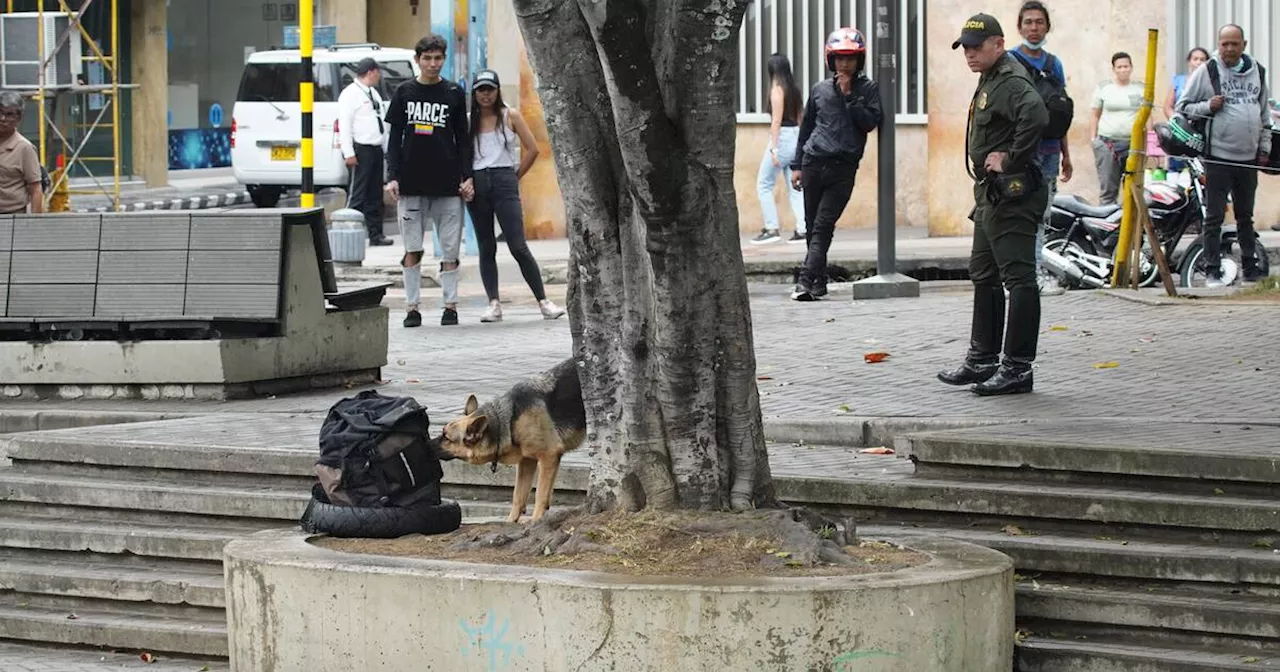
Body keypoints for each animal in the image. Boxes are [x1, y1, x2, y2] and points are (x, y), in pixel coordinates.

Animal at [437, 358, 583, 522]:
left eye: (447, 438)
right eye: (443, 432)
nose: (427, 444)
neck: (508, 421)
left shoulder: (549, 456)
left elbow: (540, 494)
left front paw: (536, 520)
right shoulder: (527, 461)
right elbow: (518, 495)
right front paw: (512, 520)